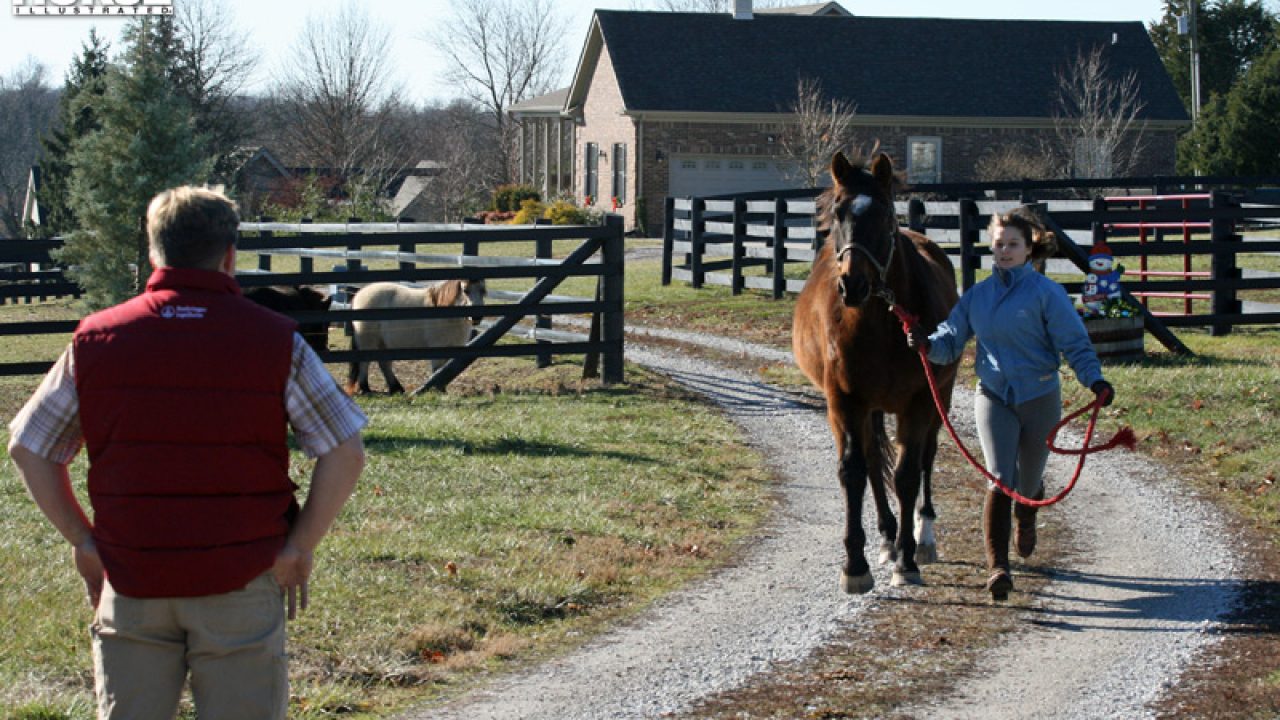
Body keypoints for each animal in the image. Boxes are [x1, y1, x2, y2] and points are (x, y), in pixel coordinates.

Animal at [345, 278, 487, 395]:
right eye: (465, 290)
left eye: (483, 291)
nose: (477, 317)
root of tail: (359, 294)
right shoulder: (438, 347)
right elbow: (437, 369)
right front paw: (439, 390)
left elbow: (444, 370)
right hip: (368, 341)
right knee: (365, 363)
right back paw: (365, 389)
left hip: (383, 342)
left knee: (384, 364)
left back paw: (396, 388)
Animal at [791, 151, 960, 594]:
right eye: (838, 212)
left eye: (884, 214)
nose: (853, 284)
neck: (881, 322)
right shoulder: (845, 400)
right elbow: (854, 472)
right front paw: (856, 564)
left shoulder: (920, 401)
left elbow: (907, 474)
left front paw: (907, 560)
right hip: (870, 408)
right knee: (870, 459)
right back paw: (885, 536)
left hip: (940, 396)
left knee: (926, 458)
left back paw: (922, 536)